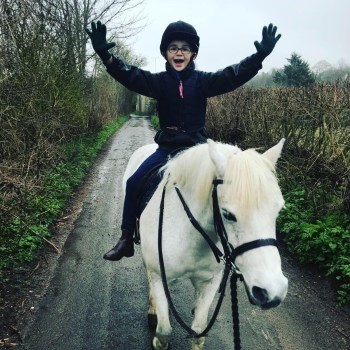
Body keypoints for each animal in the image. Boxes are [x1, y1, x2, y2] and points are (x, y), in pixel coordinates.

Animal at [122, 138, 288, 348]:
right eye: (227, 214)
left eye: (278, 210)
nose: (272, 291)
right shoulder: (159, 276)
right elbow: (164, 331)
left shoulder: (210, 283)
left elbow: (199, 331)